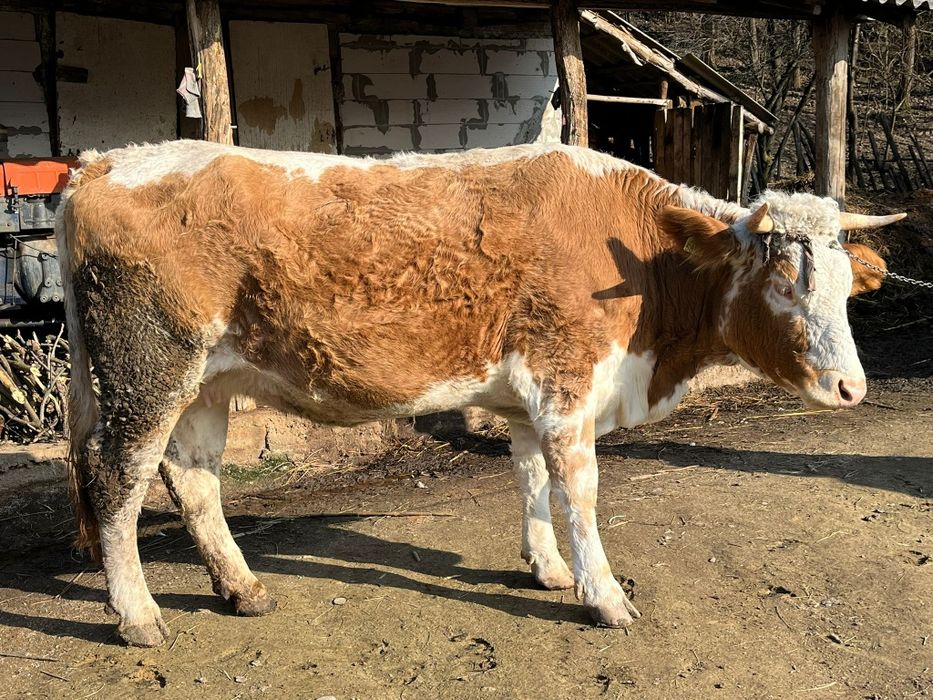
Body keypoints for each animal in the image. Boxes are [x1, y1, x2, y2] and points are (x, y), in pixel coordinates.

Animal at [57, 140, 903, 647]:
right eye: (783, 283)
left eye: (842, 288)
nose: (851, 386)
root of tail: (106, 162)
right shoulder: (567, 383)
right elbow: (578, 492)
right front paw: (603, 595)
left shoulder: (526, 398)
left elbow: (528, 478)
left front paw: (547, 567)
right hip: (148, 367)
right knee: (116, 478)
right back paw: (138, 615)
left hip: (206, 381)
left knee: (193, 477)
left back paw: (241, 588)